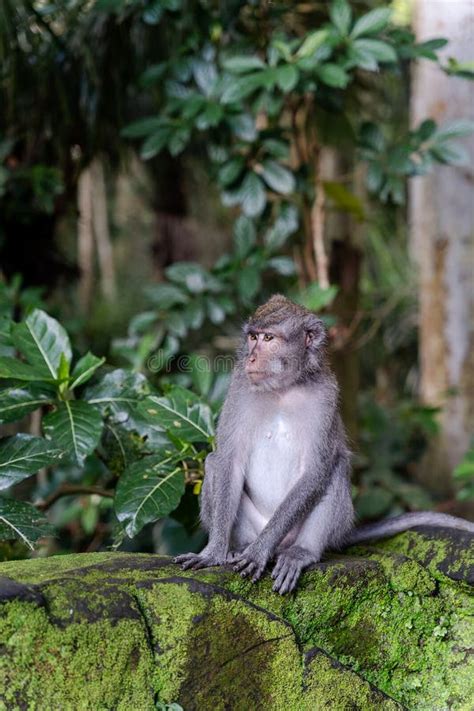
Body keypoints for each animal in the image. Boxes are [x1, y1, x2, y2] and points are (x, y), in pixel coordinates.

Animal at [175, 294, 474, 594]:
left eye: (269, 338)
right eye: (252, 337)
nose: (251, 357)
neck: (283, 389)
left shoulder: (325, 396)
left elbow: (315, 471)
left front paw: (259, 552)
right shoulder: (239, 388)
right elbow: (229, 461)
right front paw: (214, 552)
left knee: (335, 470)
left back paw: (299, 552)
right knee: (213, 463)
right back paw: (237, 548)